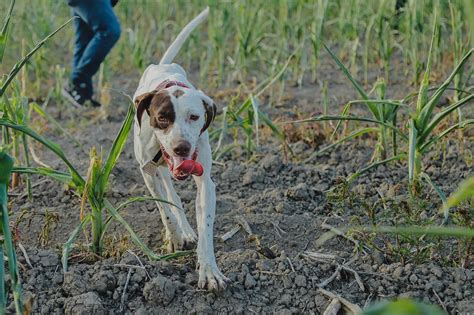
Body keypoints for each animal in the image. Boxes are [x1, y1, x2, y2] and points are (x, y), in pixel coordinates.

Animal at [131, 7, 229, 292]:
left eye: (194, 117)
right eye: (162, 117)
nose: (181, 148)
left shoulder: (206, 182)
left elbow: (205, 226)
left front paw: (209, 270)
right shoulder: (147, 171)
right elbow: (164, 209)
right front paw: (174, 236)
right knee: (170, 195)